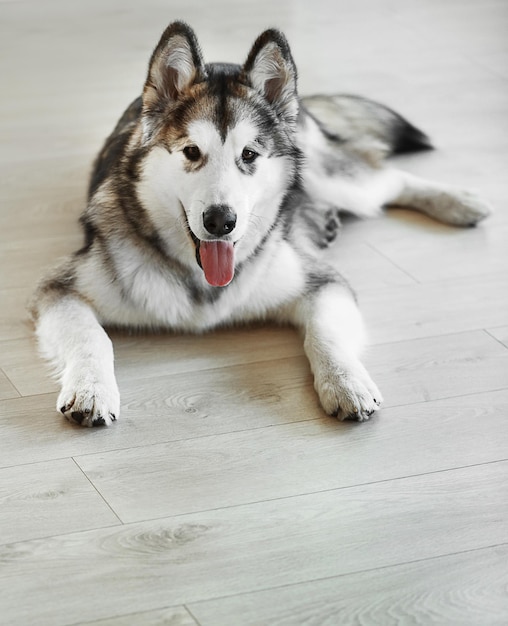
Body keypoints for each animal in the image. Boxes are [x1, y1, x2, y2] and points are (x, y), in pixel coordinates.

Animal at [29, 22, 490, 426]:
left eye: (248, 155)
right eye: (191, 152)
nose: (221, 221)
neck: (202, 282)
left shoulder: (322, 282)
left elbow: (324, 334)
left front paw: (347, 383)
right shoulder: (60, 291)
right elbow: (93, 338)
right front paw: (91, 389)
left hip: (326, 174)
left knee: (386, 178)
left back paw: (459, 201)